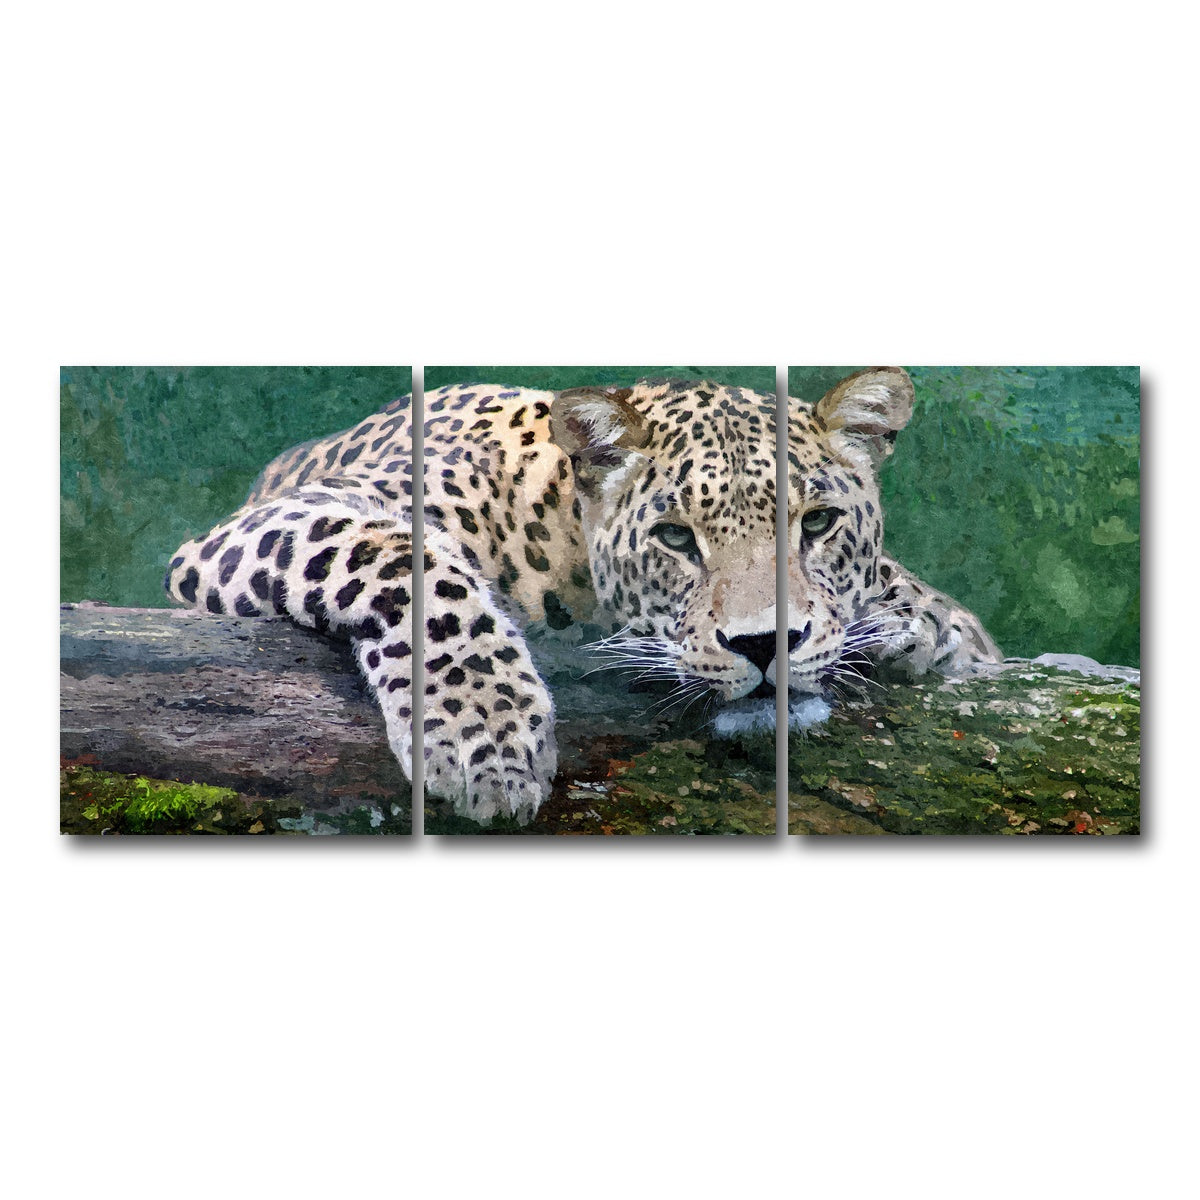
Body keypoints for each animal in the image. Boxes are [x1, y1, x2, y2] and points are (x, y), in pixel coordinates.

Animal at [165, 367, 1000, 825]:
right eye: (674, 538)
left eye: (819, 524)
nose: (767, 645)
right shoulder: (283, 519)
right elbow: (415, 567)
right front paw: (487, 739)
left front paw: (928, 624)